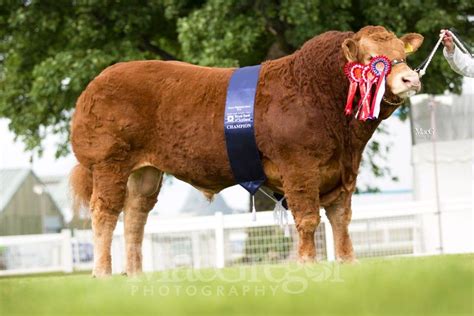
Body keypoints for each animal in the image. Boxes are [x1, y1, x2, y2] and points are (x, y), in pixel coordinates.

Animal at [70, 25, 422, 276]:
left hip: (146, 172)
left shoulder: (342, 171)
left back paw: (135, 274)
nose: (410, 78)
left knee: (135, 217)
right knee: (105, 213)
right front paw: (308, 265)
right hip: (109, 162)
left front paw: (349, 263)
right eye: (370, 58)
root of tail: (98, 81)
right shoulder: (300, 168)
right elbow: (308, 219)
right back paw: (102, 273)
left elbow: (341, 220)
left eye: (401, 53)